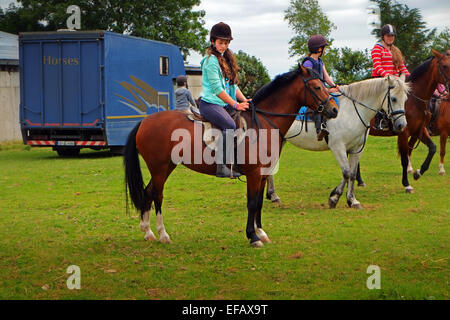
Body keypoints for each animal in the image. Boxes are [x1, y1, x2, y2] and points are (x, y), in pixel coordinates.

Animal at [123, 65, 338, 248]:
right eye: (317, 87)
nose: (334, 110)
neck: (264, 122)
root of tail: (145, 122)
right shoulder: (254, 173)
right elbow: (252, 203)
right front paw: (252, 236)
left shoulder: (262, 174)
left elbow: (259, 202)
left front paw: (261, 232)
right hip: (159, 167)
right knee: (157, 195)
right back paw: (163, 234)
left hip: (167, 166)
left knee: (148, 192)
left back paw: (148, 232)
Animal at [268, 75, 412, 210]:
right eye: (393, 99)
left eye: (405, 99)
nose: (402, 125)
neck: (352, 111)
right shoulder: (338, 147)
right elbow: (346, 172)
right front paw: (335, 198)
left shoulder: (357, 148)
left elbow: (352, 174)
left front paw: (352, 200)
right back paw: (274, 196)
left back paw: (272, 195)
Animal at [356, 48, 450, 191]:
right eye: (445, 66)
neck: (414, 100)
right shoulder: (404, 132)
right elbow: (405, 159)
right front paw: (406, 184)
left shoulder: (419, 130)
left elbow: (432, 148)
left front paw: (418, 172)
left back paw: (360, 180)